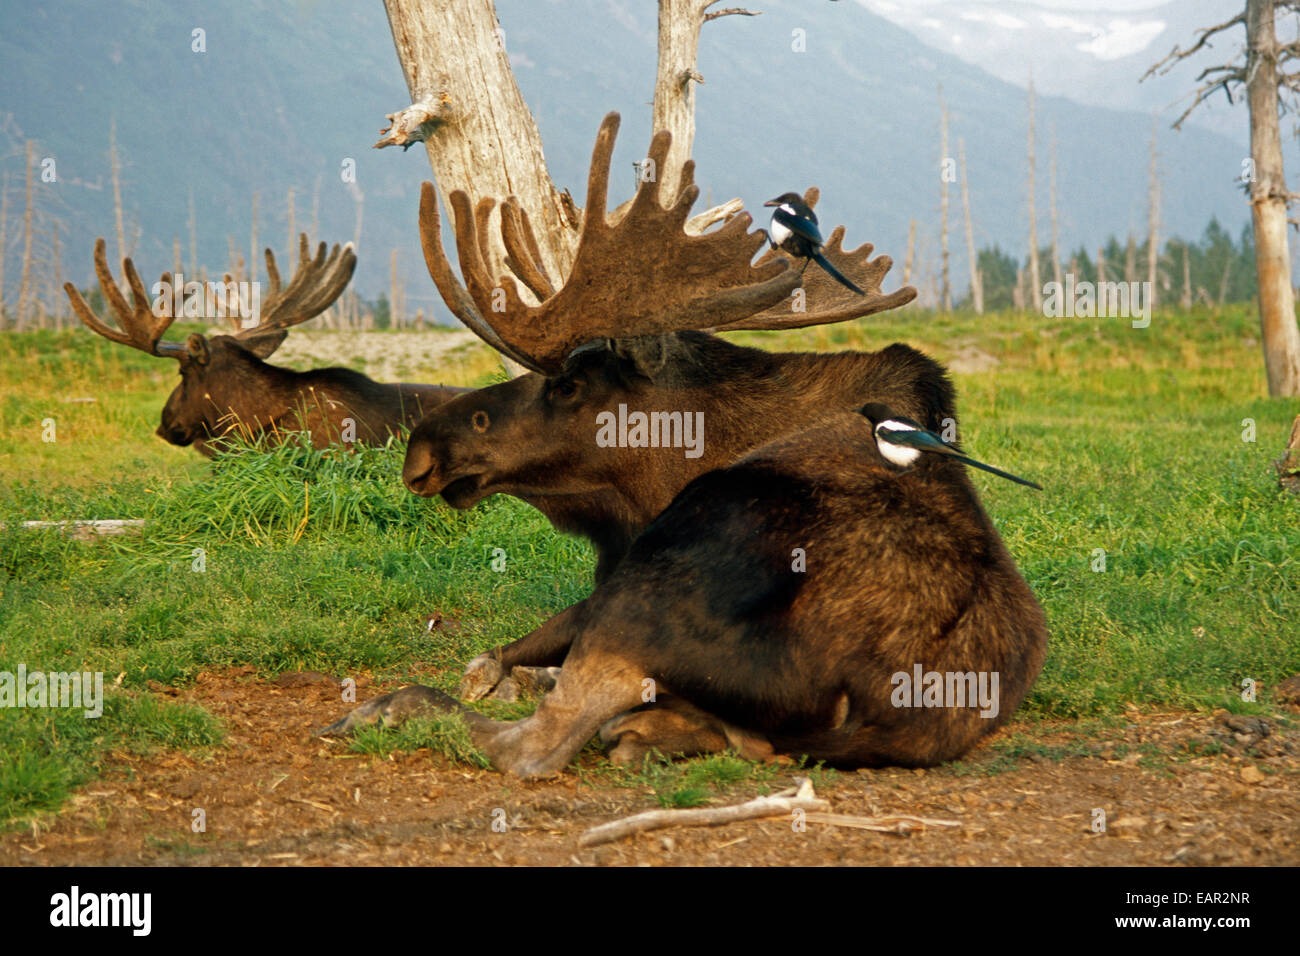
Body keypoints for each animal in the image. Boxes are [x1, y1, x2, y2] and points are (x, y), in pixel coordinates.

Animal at [321, 112, 1048, 777]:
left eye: (568, 384)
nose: (423, 445)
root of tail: (870, 695)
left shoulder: (621, 572)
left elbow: (514, 650)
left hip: (645, 601)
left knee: (534, 746)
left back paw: (382, 710)